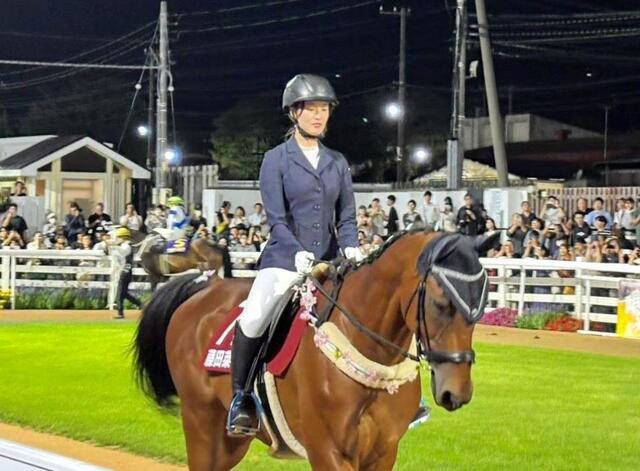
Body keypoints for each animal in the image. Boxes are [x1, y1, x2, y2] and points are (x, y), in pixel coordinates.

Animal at [134, 230, 491, 470]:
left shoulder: (383, 453)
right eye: (441, 304)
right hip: (202, 424)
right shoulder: (328, 452)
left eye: (480, 306)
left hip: (231, 442)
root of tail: (202, 287)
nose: (457, 392)